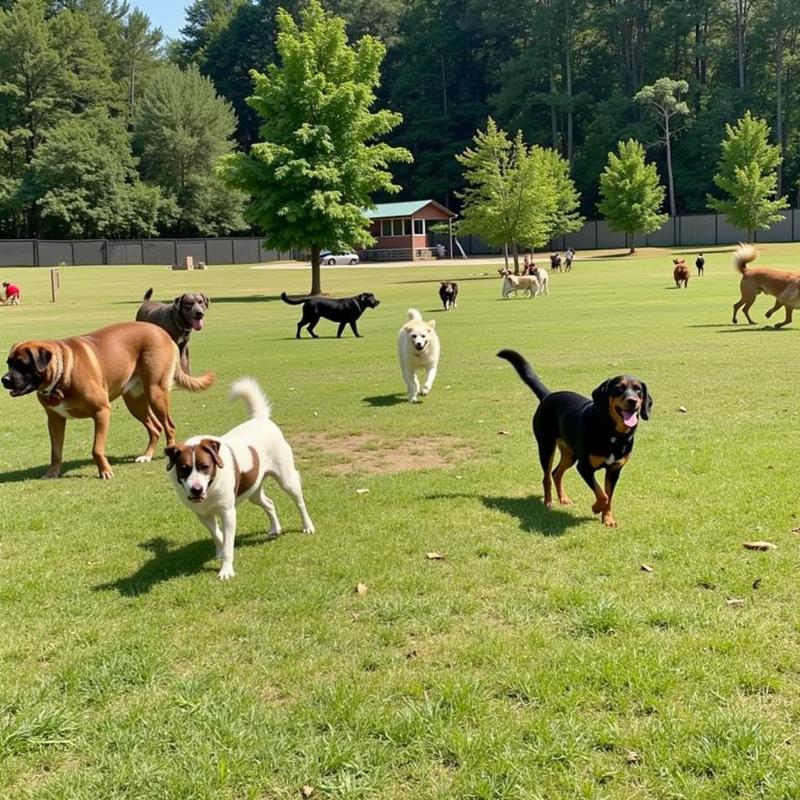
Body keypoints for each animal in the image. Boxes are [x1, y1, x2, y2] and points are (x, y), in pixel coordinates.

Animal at [0, 322, 216, 478]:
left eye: (22, 364)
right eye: (9, 363)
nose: (4, 379)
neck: (62, 372)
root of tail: (164, 333)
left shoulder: (101, 412)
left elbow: (97, 449)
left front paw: (105, 471)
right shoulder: (55, 420)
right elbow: (55, 451)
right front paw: (52, 473)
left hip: (156, 393)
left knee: (169, 426)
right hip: (134, 401)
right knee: (155, 428)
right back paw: (146, 456)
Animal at [166, 378, 316, 580]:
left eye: (205, 466)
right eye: (184, 468)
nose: (196, 489)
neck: (211, 489)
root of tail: (260, 418)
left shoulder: (228, 513)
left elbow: (228, 542)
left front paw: (226, 570)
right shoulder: (203, 515)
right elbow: (218, 535)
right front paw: (220, 550)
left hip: (287, 479)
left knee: (299, 502)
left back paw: (307, 526)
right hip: (254, 490)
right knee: (269, 503)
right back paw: (275, 529)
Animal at [496, 348, 652, 524]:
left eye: (638, 390)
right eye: (619, 388)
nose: (633, 401)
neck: (612, 433)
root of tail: (548, 395)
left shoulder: (614, 469)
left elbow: (609, 496)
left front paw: (608, 519)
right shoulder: (584, 467)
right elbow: (602, 494)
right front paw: (596, 508)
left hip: (570, 454)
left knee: (556, 473)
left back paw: (563, 498)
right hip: (546, 447)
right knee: (547, 477)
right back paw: (548, 502)